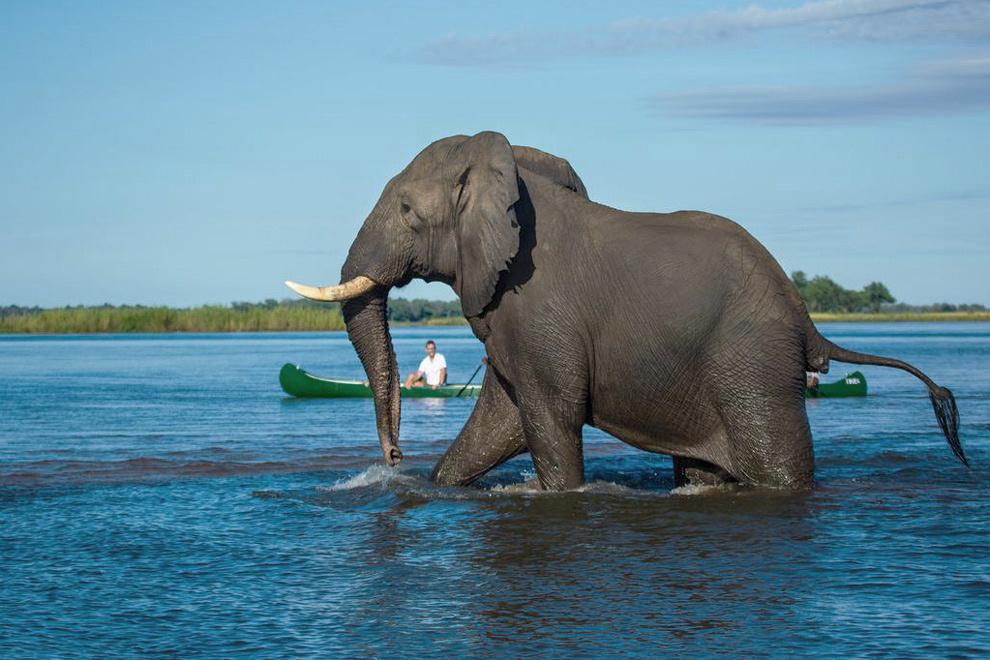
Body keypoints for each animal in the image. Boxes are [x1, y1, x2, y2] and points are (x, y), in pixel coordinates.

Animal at [286, 131, 966, 490]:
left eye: (405, 210)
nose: (394, 459)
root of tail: (806, 320)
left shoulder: (540, 309)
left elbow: (548, 419)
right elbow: (500, 421)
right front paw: (435, 485)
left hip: (753, 362)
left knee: (778, 467)